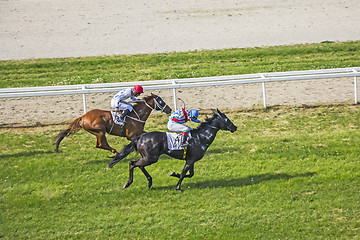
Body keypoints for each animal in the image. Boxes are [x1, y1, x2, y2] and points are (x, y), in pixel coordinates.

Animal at [107, 109, 236, 191]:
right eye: (227, 120)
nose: (235, 127)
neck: (201, 137)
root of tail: (140, 137)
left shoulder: (191, 159)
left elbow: (190, 174)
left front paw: (174, 174)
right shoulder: (190, 160)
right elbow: (184, 173)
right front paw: (178, 187)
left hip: (147, 157)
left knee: (139, 165)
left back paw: (149, 182)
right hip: (151, 158)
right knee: (132, 163)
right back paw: (128, 183)